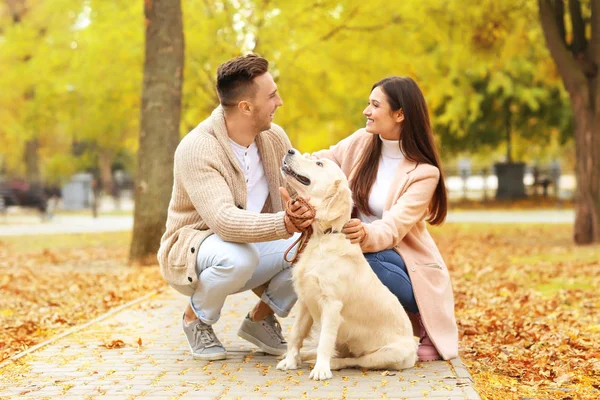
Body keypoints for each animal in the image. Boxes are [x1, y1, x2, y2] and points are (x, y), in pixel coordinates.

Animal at [278, 150, 414, 382]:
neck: (323, 236)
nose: (290, 151)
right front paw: (290, 360)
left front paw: (321, 369)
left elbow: (324, 340)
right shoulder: (305, 299)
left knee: (354, 360)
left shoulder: (332, 304)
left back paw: (330, 363)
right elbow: (295, 333)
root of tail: (415, 352)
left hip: (387, 354)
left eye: (319, 163)